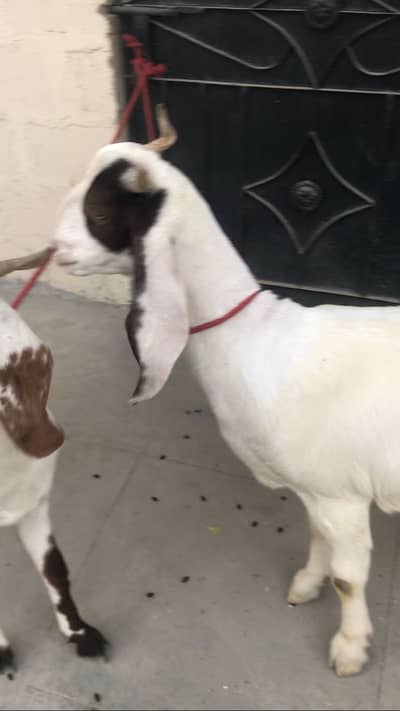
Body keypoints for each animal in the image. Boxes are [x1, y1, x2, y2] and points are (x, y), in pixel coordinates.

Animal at [55, 106, 399, 677]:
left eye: (100, 212)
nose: (57, 250)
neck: (259, 340)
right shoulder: (316, 491)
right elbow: (316, 539)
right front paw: (306, 585)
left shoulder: (341, 493)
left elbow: (348, 578)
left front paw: (350, 649)